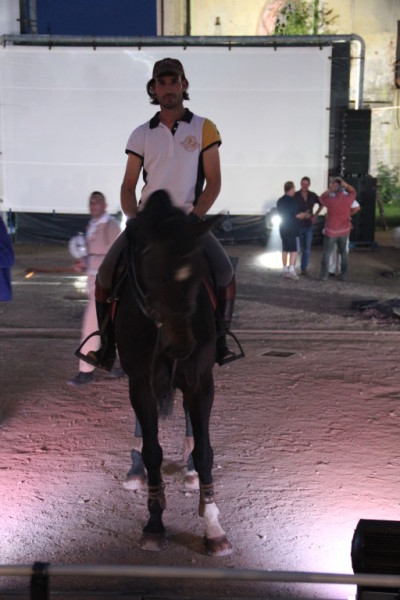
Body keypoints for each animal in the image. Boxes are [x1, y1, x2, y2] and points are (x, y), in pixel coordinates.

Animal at [114, 189, 232, 556]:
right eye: (151, 268)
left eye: (196, 271)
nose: (181, 344)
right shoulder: (140, 383)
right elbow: (153, 452)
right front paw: (154, 523)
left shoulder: (201, 382)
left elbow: (206, 452)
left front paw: (213, 527)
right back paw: (136, 472)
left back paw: (190, 471)